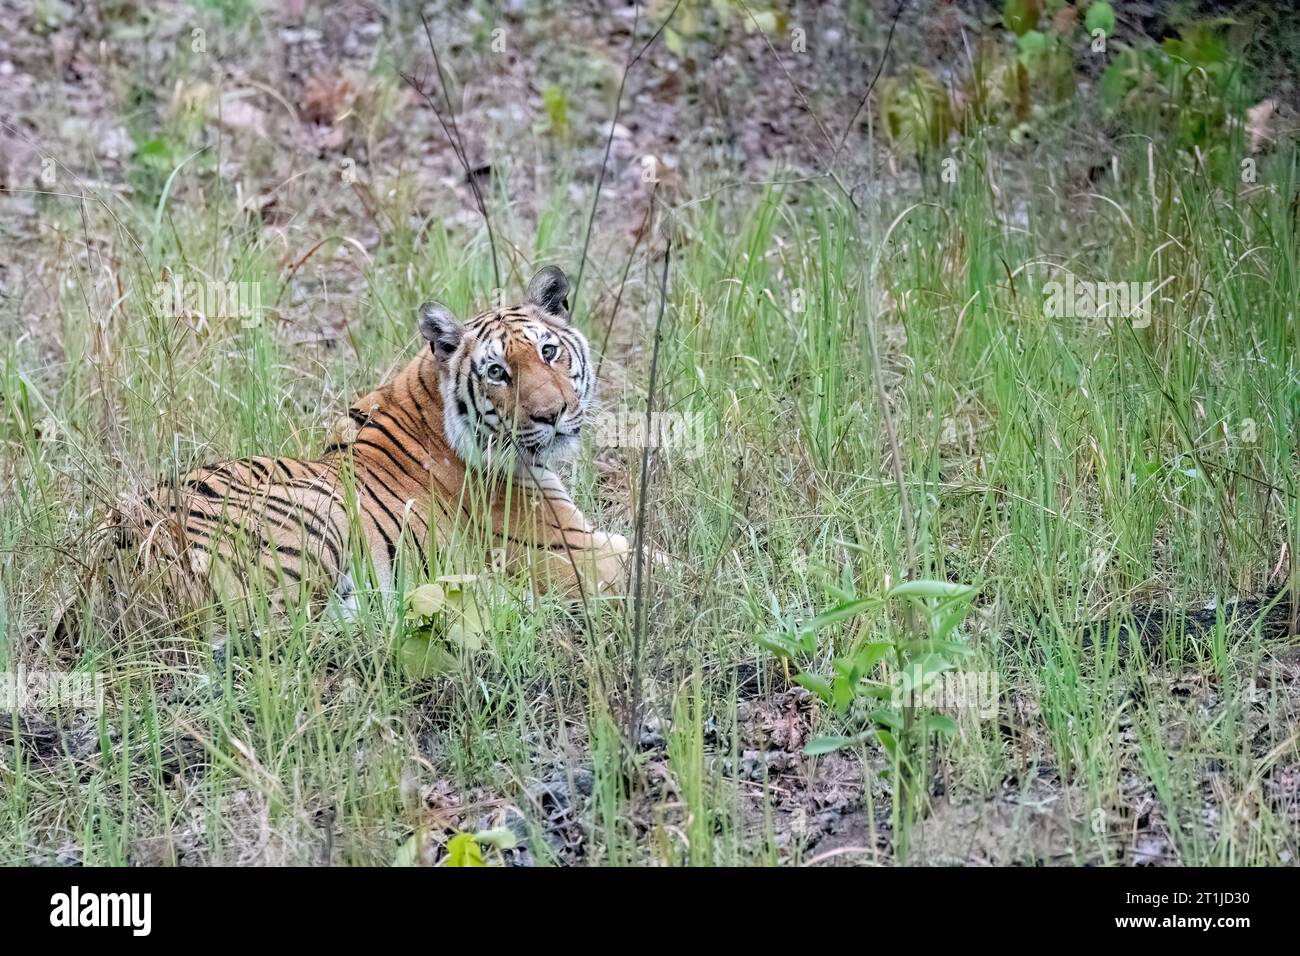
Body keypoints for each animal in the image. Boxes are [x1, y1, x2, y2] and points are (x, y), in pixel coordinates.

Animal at [63, 265, 642, 632]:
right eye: (497, 371)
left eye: (549, 352)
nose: (552, 413)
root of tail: (114, 566)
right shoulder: (570, 551)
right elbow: (653, 563)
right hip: (315, 525)